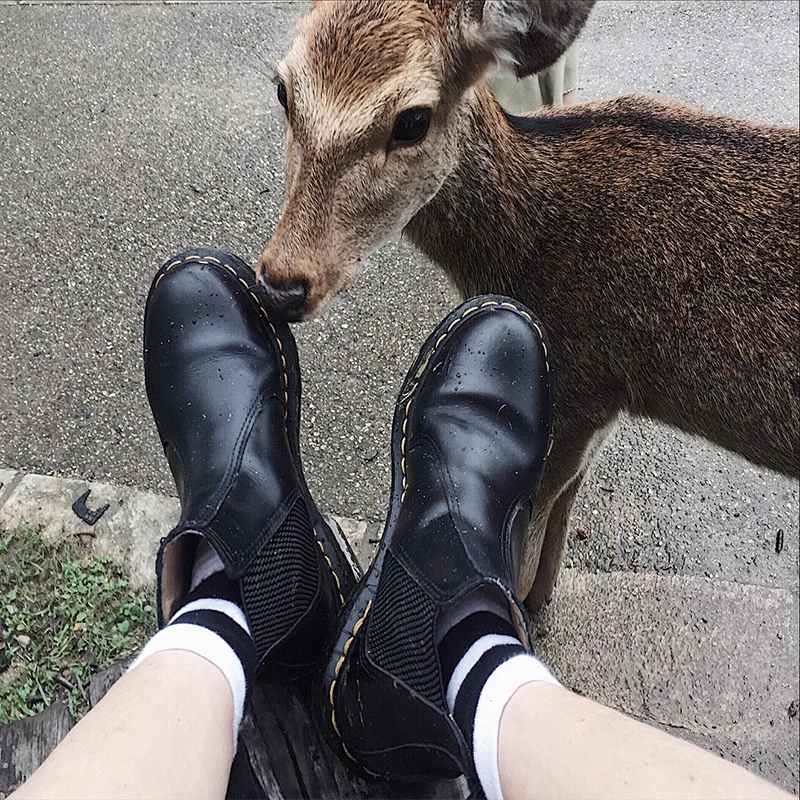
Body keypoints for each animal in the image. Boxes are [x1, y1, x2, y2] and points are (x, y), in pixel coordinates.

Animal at [256, 0, 800, 612]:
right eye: (283, 89)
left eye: (413, 119)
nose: (282, 282)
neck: (525, 249)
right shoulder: (607, 396)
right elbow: (562, 514)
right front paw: (541, 601)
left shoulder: (582, 383)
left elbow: (522, 551)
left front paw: (525, 605)